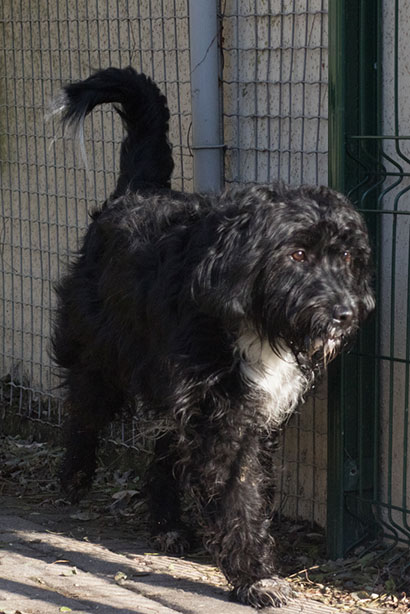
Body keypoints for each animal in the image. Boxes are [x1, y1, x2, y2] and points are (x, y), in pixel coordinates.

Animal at [53, 66, 375, 608]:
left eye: (348, 258)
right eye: (297, 255)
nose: (346, 314)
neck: (249, 312)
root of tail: (138, 191)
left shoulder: (239, 410)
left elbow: (243, 482)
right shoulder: (218, 414)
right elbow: (235, 493)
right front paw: (255, 576)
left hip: (167, 385)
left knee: (162, 449)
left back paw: (166, 523)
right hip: (102, 354)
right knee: (83, 409)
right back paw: (72, 477)